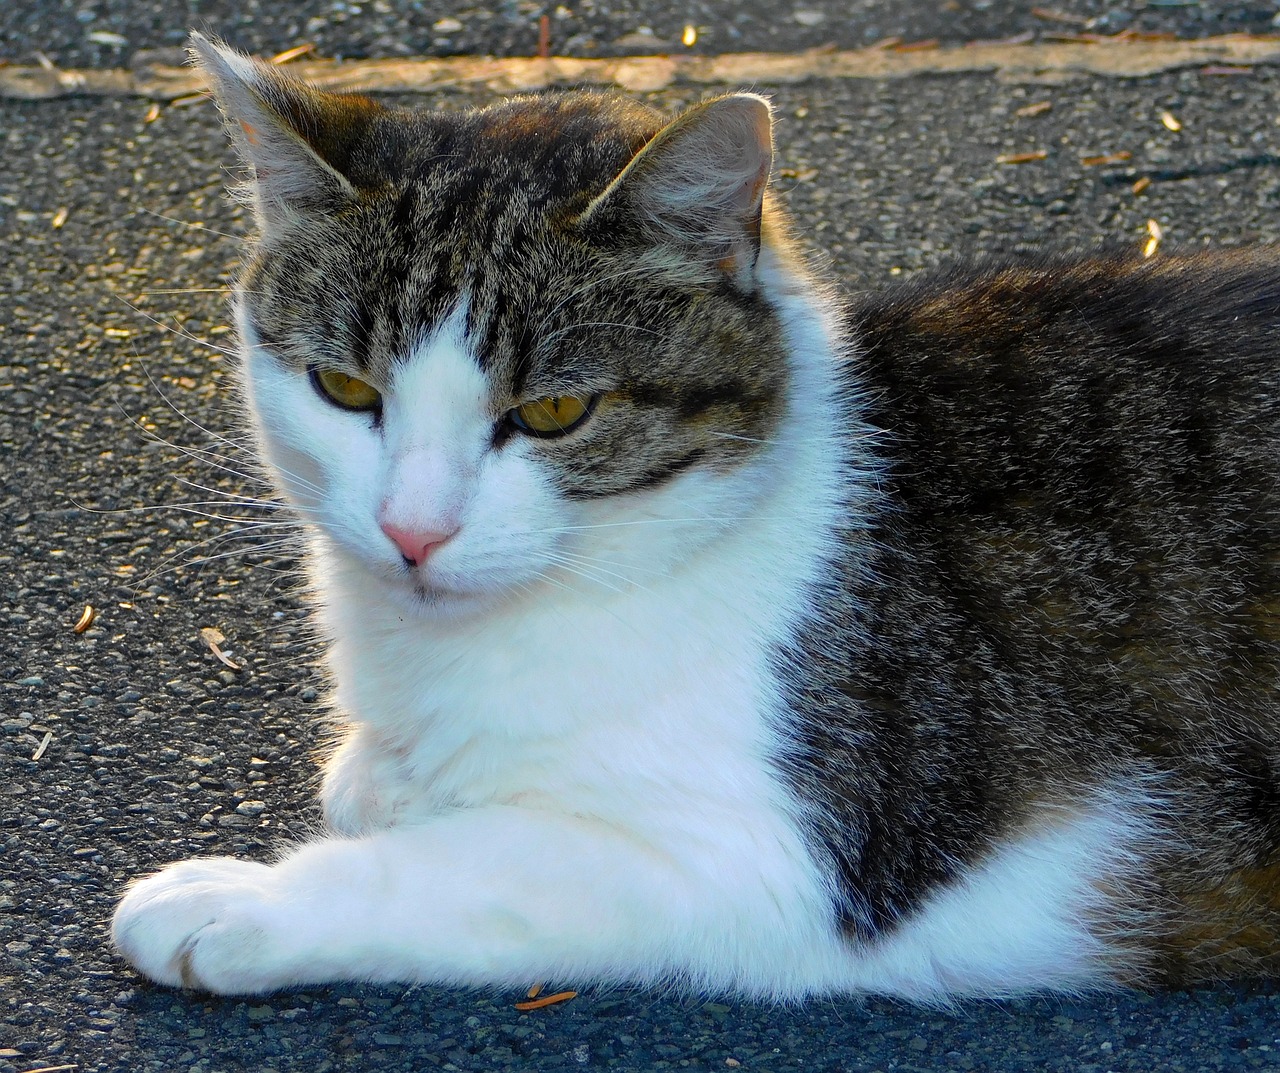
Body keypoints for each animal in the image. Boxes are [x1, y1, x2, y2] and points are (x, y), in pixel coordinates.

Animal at [112, 35, 1280, 1008]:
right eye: (343, 389)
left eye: (554, 413)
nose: (412, 531)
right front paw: (388, 775)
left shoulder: (776, 860)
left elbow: (453, 867)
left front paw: (239, 900)